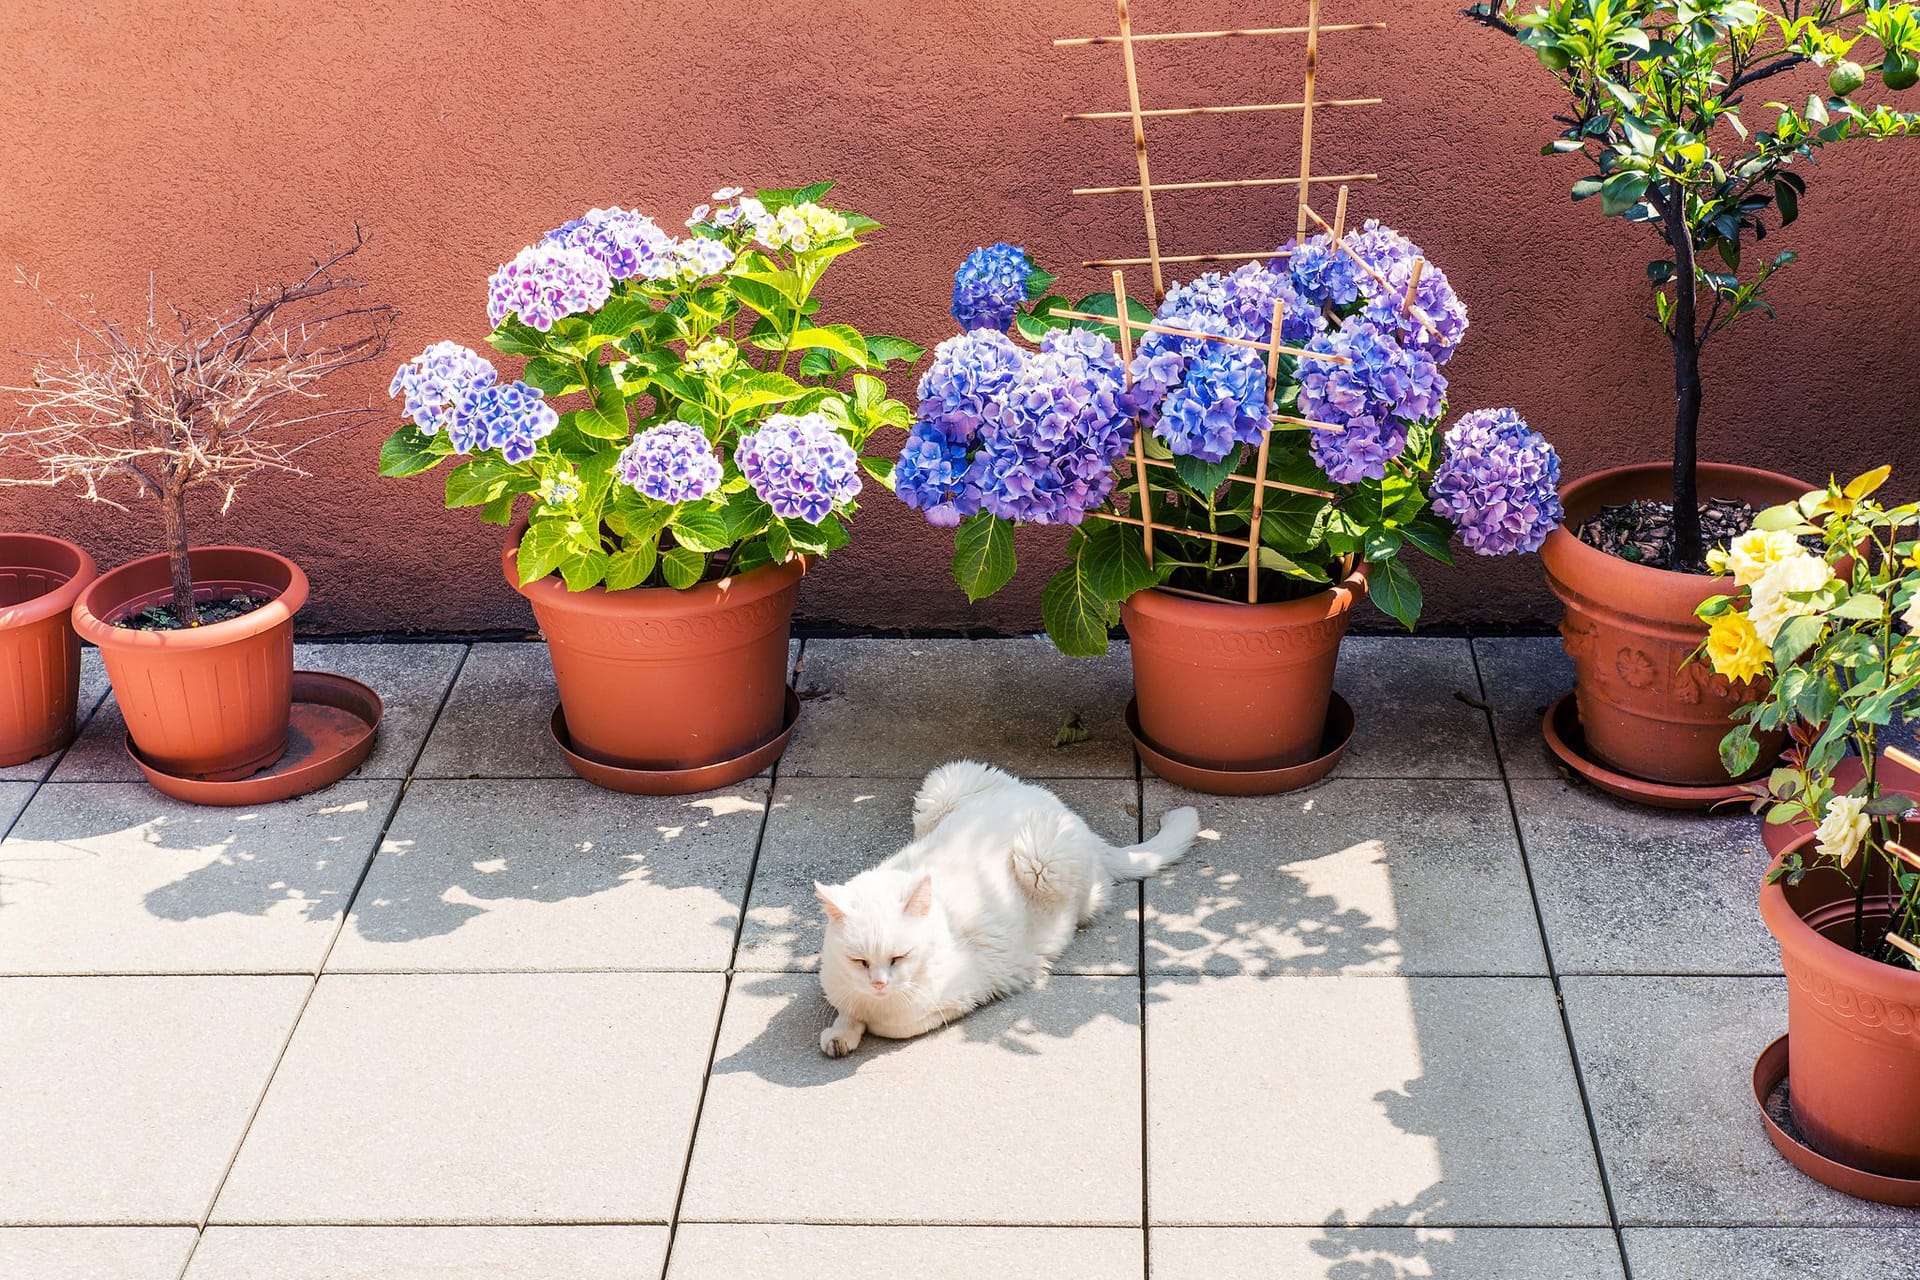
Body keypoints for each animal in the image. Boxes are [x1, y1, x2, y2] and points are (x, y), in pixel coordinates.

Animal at [814, 767, 1198, 1059]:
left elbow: (891, 1024)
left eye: (898, 958)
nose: (878, 984)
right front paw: (841, 1032)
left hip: (1039, 855)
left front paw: (861, 1024)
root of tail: (1072, 816)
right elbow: (846, 1008)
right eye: (859, 961)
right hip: (940, 788)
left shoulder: (957, 995)